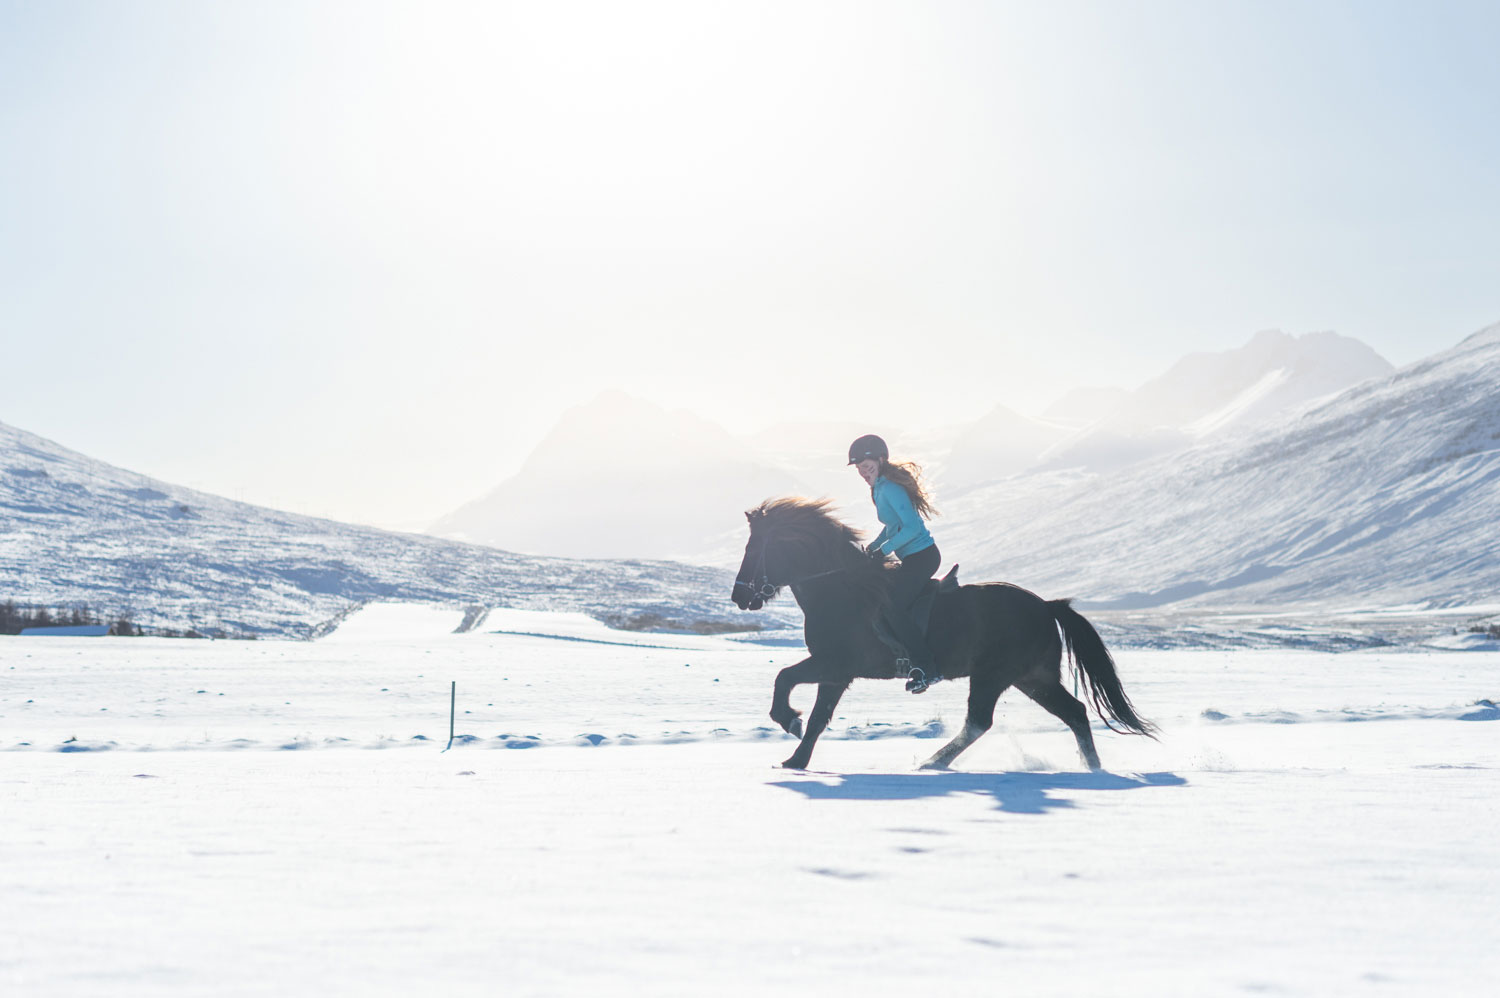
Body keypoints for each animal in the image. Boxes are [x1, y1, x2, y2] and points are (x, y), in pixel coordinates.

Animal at [732, 498, 1152, 768]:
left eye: (754, 548)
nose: (739, 596)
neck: (842, 591)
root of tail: (1047, 606)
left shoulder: (835, 664)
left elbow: (784, 679)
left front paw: (790, 721)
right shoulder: (835, 673)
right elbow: (818, 716)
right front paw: (796, 759)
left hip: (994, 675)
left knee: (980, 722)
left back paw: (932, 762)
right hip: (1033, 678)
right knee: (1076, 713)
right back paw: (1092, 767)